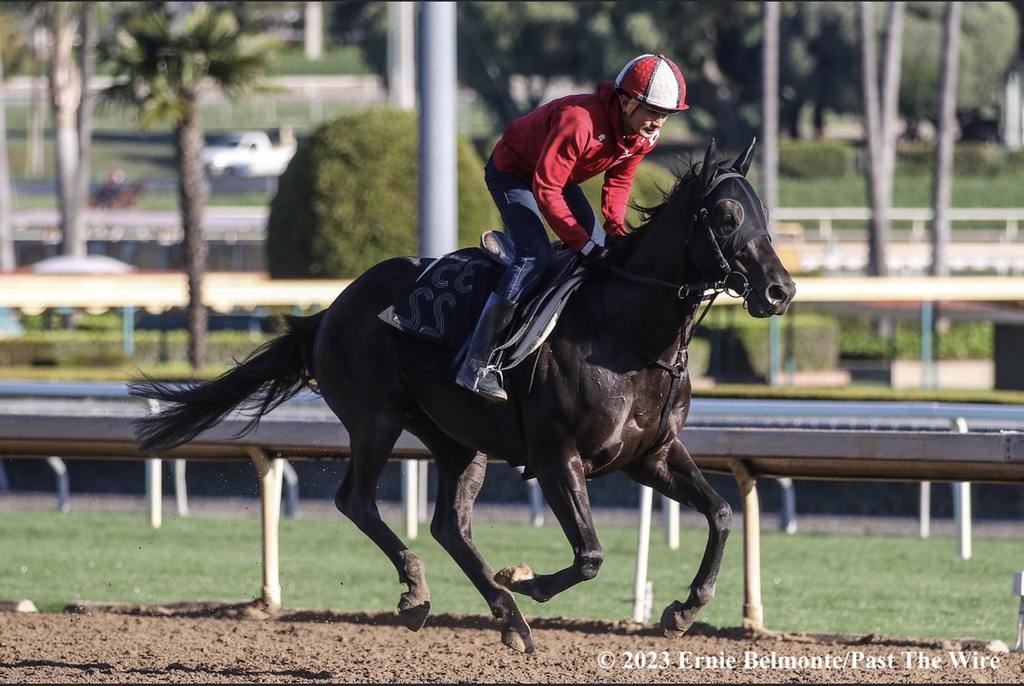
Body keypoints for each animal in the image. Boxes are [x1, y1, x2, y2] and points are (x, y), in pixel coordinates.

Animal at [132, 139, 794, 655]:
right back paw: (425, 593)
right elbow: (589, 555)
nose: (780, 289)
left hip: (458, 440)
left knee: (450, 524)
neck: (626, 334)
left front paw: (683, 610)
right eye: (726, 215)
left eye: (763, 213)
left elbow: (722, 512)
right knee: (357, 501)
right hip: (375, 416)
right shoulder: (557, 456)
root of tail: (331, 311)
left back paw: (508, 618)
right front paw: (528, 579)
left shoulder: (649, 455)